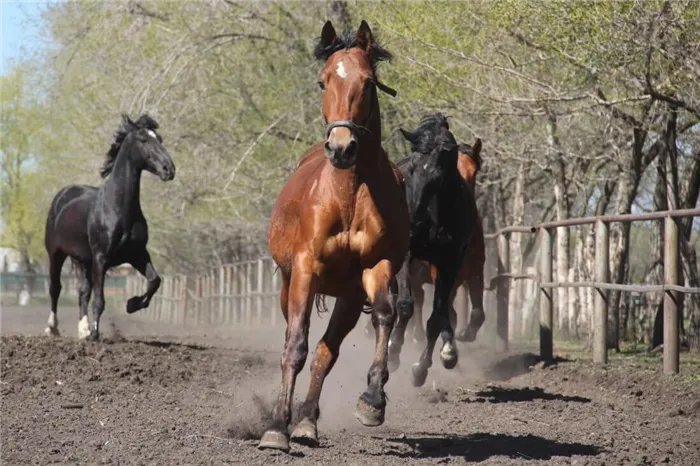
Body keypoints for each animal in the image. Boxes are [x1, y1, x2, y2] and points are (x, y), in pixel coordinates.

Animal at [43, 115, 175, 342]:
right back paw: (52, 328)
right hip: (56, 254)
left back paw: (83, 330)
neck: (117, 208)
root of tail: (62, 196)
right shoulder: (101, 257)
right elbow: (99, 300)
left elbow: (154, 280)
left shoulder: (137, 254)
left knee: (82, 291)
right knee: (55, 288)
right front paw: (96, 334)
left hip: (85, 260)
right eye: (144, 140)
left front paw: (132, 304)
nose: (169, 169)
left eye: (160, 139)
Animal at [382, 114, 476, 388]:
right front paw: (393, 351)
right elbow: (405, 304)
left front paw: (422, 367)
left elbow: (436, 315)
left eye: (437, 175)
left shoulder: (449, 263)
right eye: (411, 169)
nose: (411, 223)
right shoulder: (406, 256)